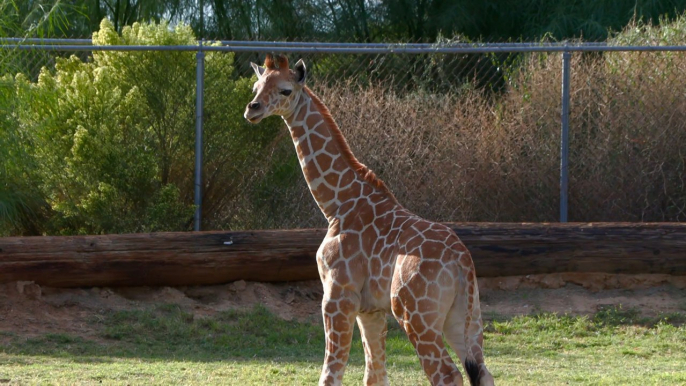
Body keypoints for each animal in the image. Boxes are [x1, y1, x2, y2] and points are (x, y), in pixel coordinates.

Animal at [245, 54, 498, 386]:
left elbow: (330, 373)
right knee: (482, 371)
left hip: (415, 316)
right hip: (464, 317)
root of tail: (462, 264)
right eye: (256, 86)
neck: (337, 204)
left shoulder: (337, 295)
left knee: (447, 375)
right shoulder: (370, 309)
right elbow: (374, 376)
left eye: (285, 90)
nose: (252, 109)